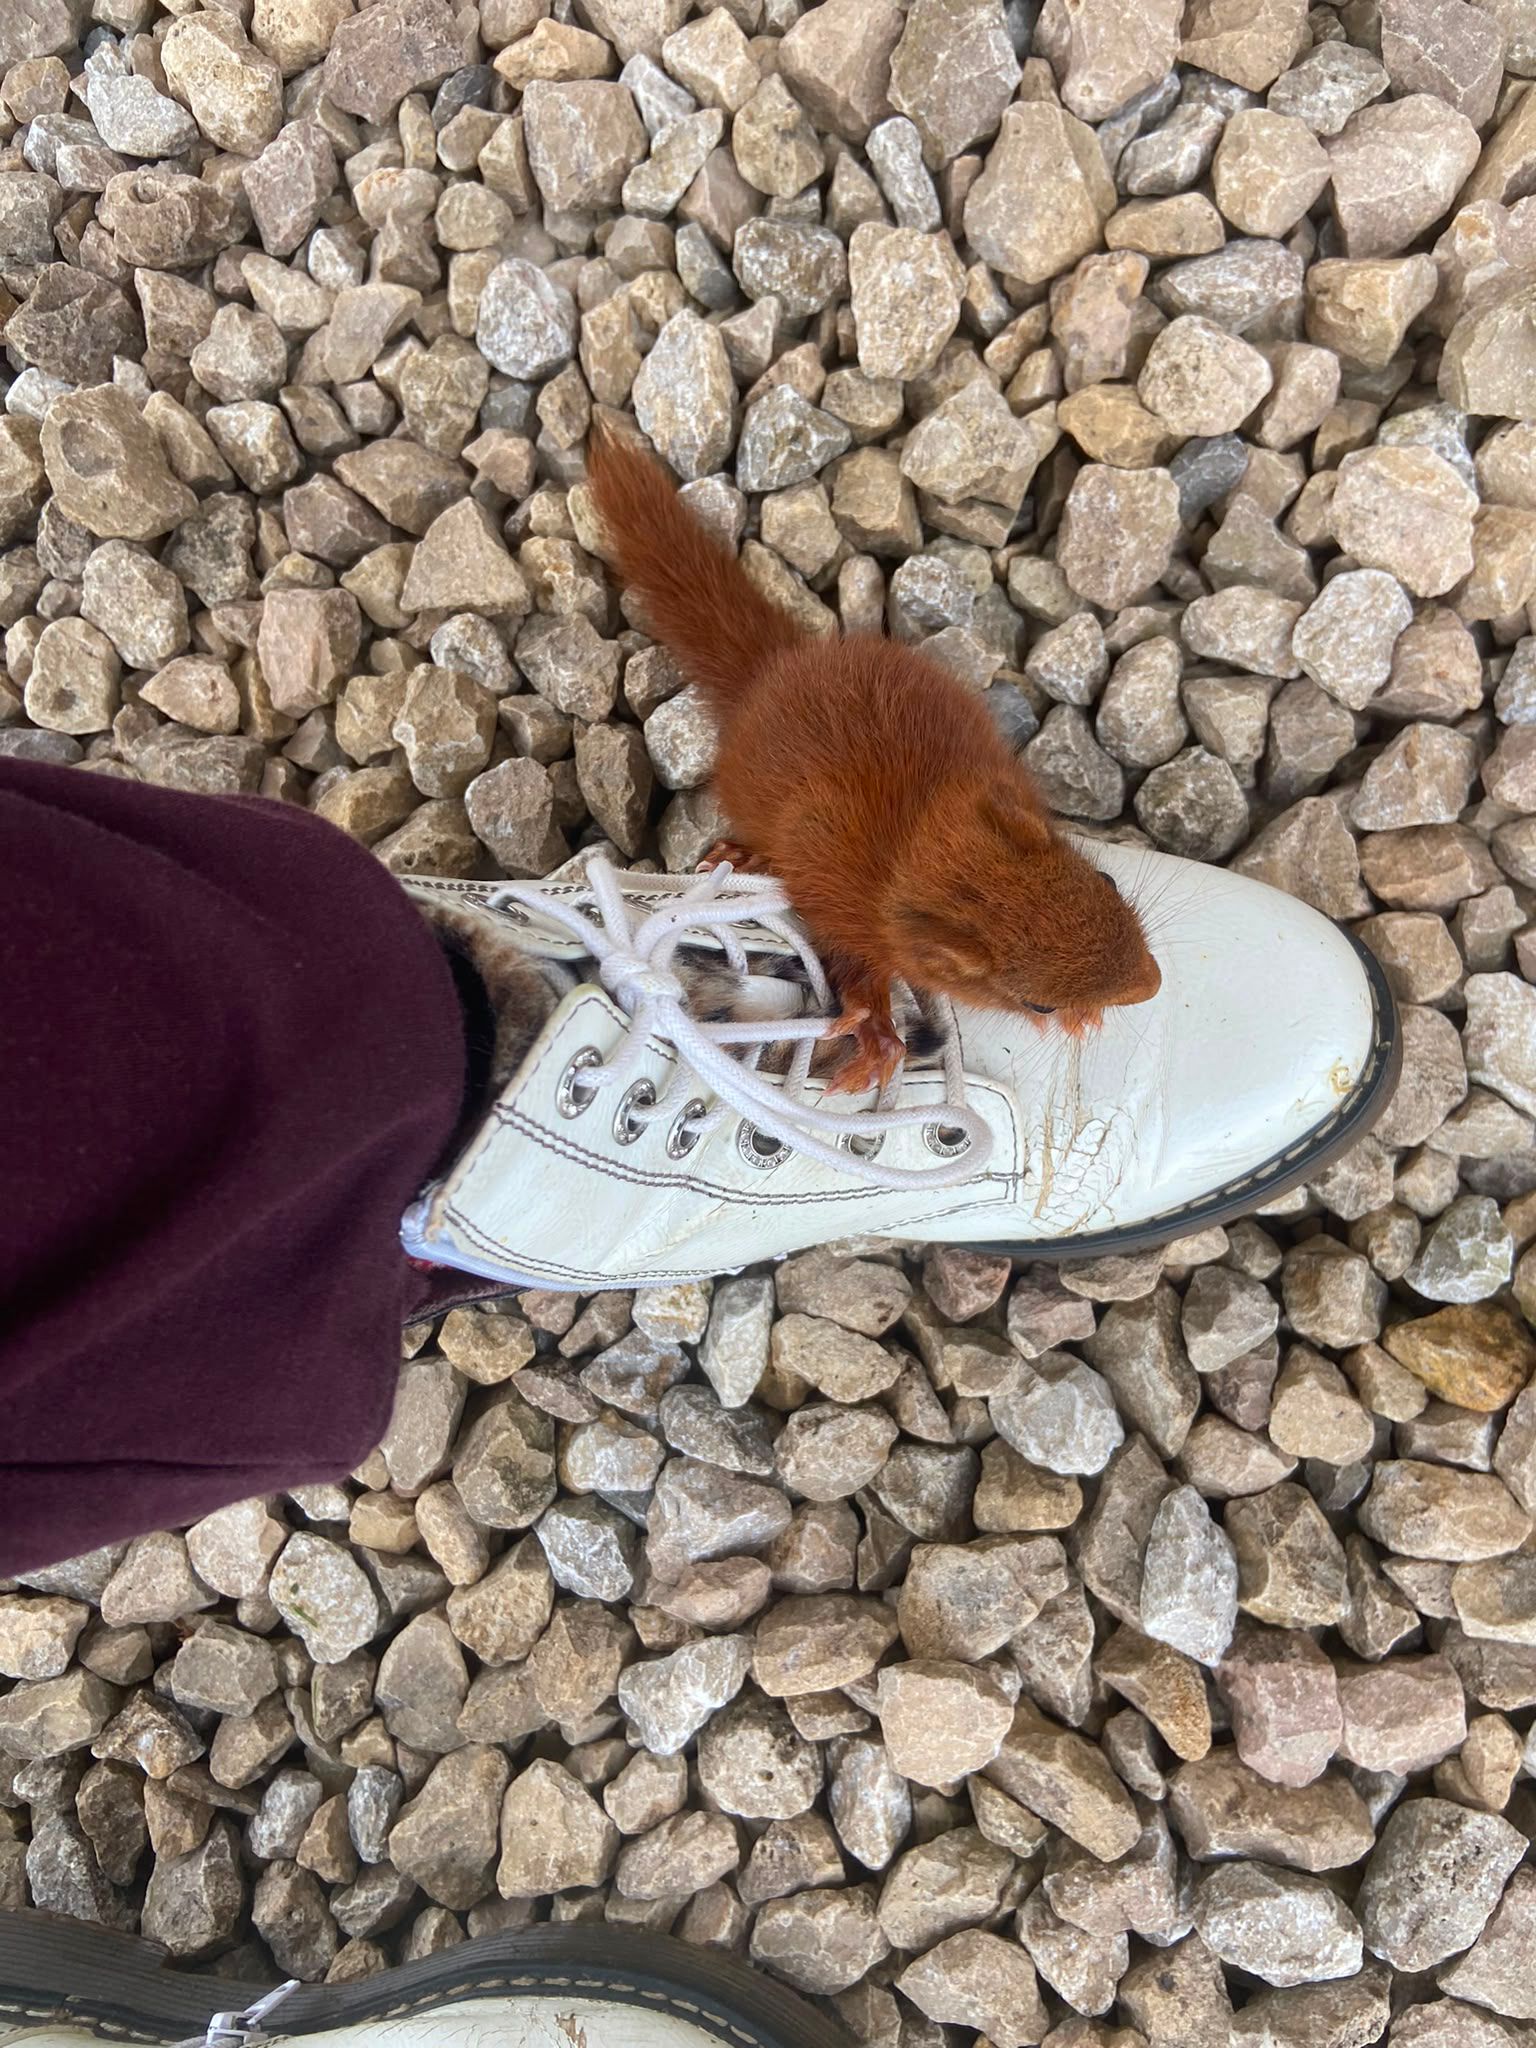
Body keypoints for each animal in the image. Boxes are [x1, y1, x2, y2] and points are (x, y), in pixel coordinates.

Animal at [585, 419, 1162, 1093]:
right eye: (1034, 1003)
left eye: (1106, 879)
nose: (1152, 983)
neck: (922, 833)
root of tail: (772, 670)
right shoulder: (838, 903)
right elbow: (855, 968)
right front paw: (879, 1035)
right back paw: (745, 855)